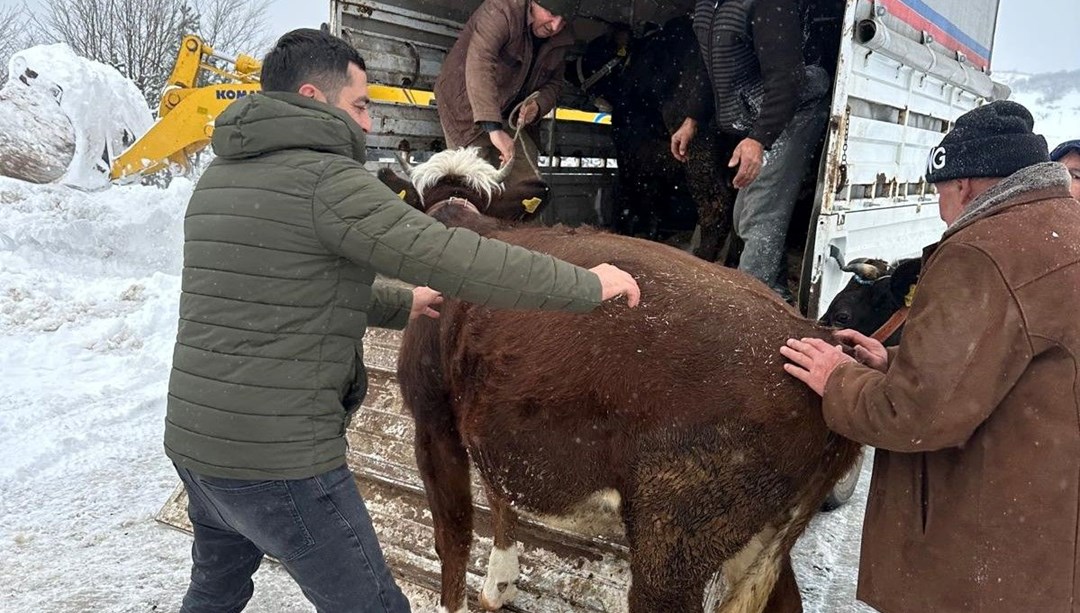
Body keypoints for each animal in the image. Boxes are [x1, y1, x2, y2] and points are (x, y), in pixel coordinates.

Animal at [384, 148, 855, 613]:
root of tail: (819, 336)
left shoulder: (433, 421)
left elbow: (454, 536)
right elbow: (501, 499)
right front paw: (499, 584)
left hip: (672, 543)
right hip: (759, 536)